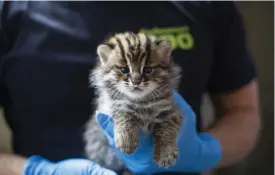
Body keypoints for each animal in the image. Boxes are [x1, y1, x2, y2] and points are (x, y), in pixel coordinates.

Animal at [83, 31, 183, 170]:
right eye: (124, 70)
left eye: (148, 69)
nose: (136, 82)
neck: (141, 101)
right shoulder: (110, 106)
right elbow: (124, 113)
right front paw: (126, 141)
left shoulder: (171, 110)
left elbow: (167, 130)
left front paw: (166, 154)